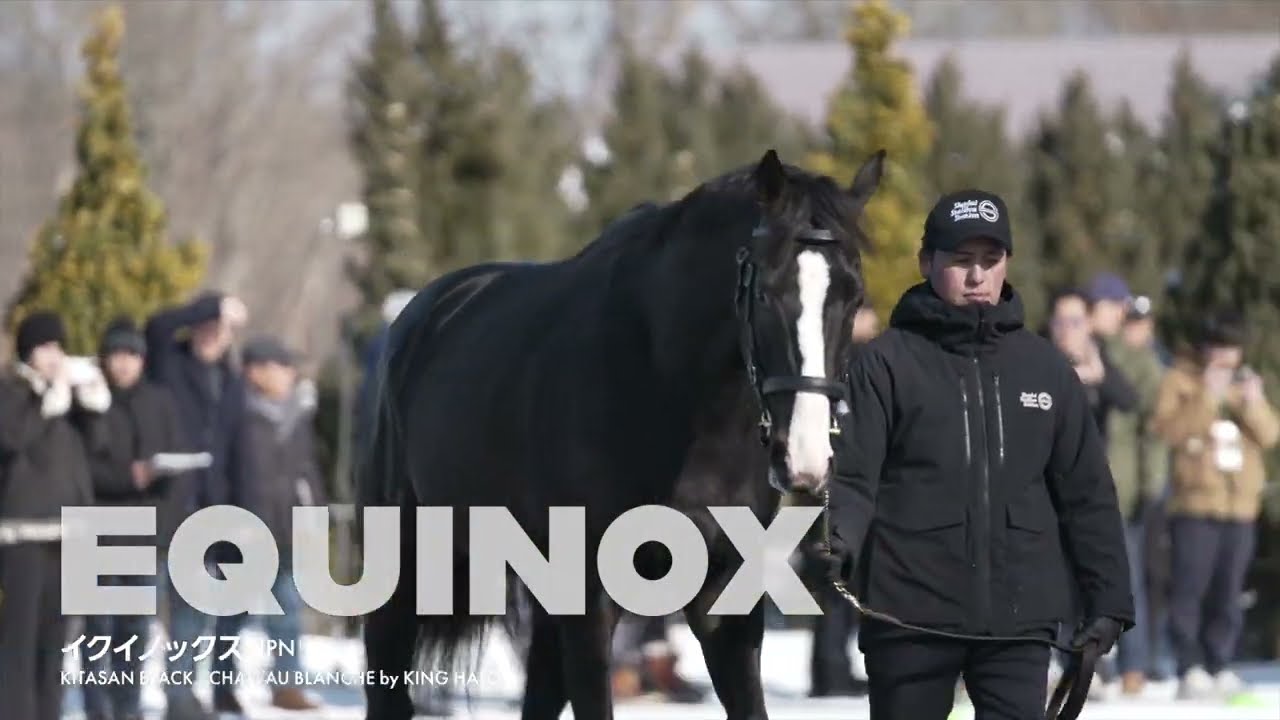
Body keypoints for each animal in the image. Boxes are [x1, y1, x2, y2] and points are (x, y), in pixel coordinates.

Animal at [356, 147, 886, 720]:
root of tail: (424, 314)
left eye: (854, 296)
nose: (805, 460)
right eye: (766, 293)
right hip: (405, 568)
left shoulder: (726, 597)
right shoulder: (590, 601)